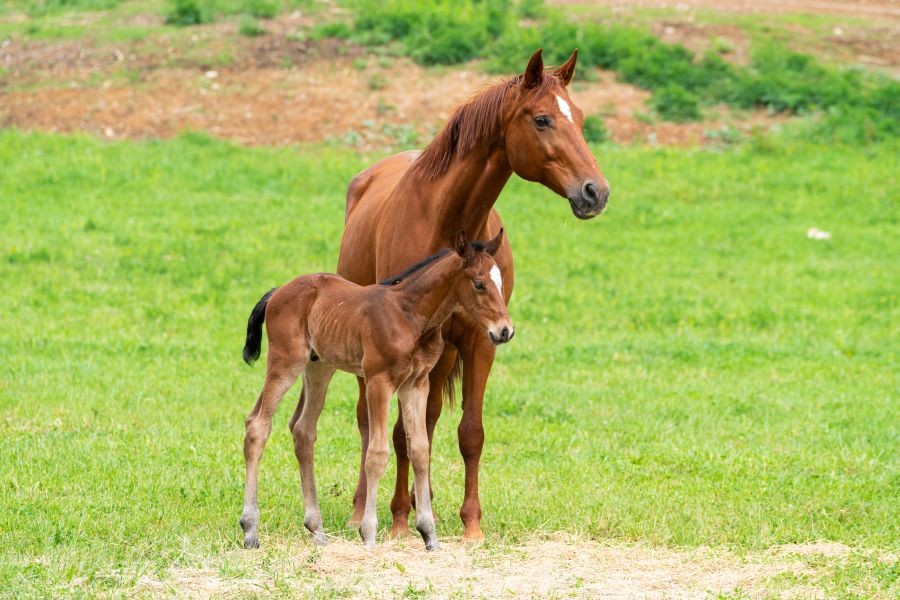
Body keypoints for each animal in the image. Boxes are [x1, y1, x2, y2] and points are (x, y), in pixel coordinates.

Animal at [239, 232, 512, 552]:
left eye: (501, 282)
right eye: (479, 284)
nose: (505, 331)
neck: (410, 316)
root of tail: (278, 291)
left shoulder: (416, 383)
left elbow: (420, 449)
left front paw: (429, 533)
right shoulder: (378, 381)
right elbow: (377, 452)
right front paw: (368, 532)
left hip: (319, 368)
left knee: (302, 430)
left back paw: (317, 530)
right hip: (285, 362)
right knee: (258, 426)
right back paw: (250, 529)